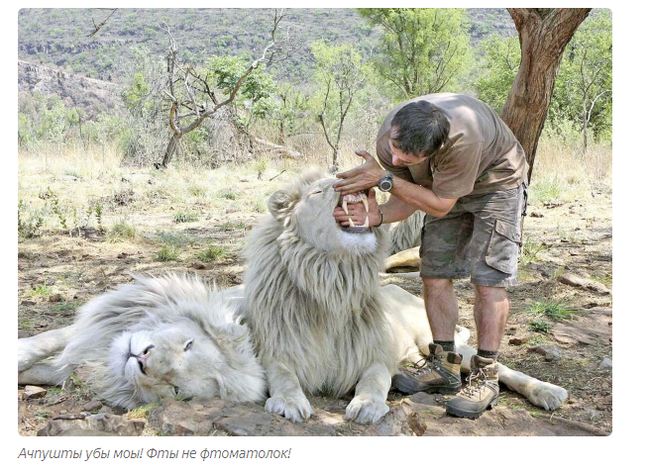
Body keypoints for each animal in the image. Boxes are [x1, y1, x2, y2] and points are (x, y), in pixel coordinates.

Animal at [19, 276, 264, 410]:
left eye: (175, 389)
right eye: (188, 344)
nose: (142, 358)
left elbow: (47, 372)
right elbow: (54, 338)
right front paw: (20, 353)